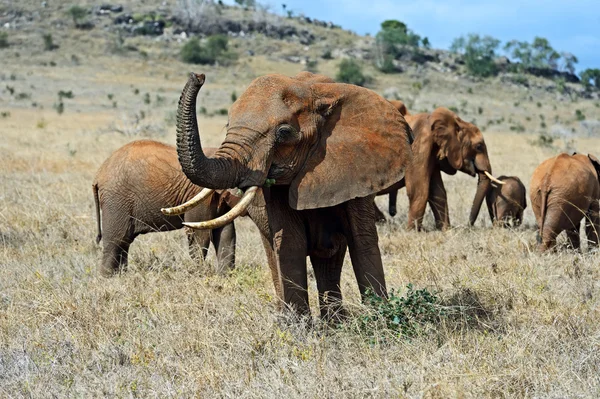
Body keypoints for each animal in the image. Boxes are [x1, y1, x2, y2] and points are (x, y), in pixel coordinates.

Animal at [93, 141, 241, 278]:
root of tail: (98, 174)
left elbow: (226, 233)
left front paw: (225, 276)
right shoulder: (198, 195)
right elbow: (199, 235)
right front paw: (198, 273)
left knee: (123, 244)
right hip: (116, 201)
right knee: (116, 242)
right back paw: (108, 279)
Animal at [162, 72, 414, 318]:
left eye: (283, 133)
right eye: (227, 124)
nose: (198, 76)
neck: (316, 92)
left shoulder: (359, 169)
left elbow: (362, 241)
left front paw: (379, 318)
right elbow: (290, 241)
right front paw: (299, 326)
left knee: (330, 255)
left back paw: (334, 322)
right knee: (276, 252)